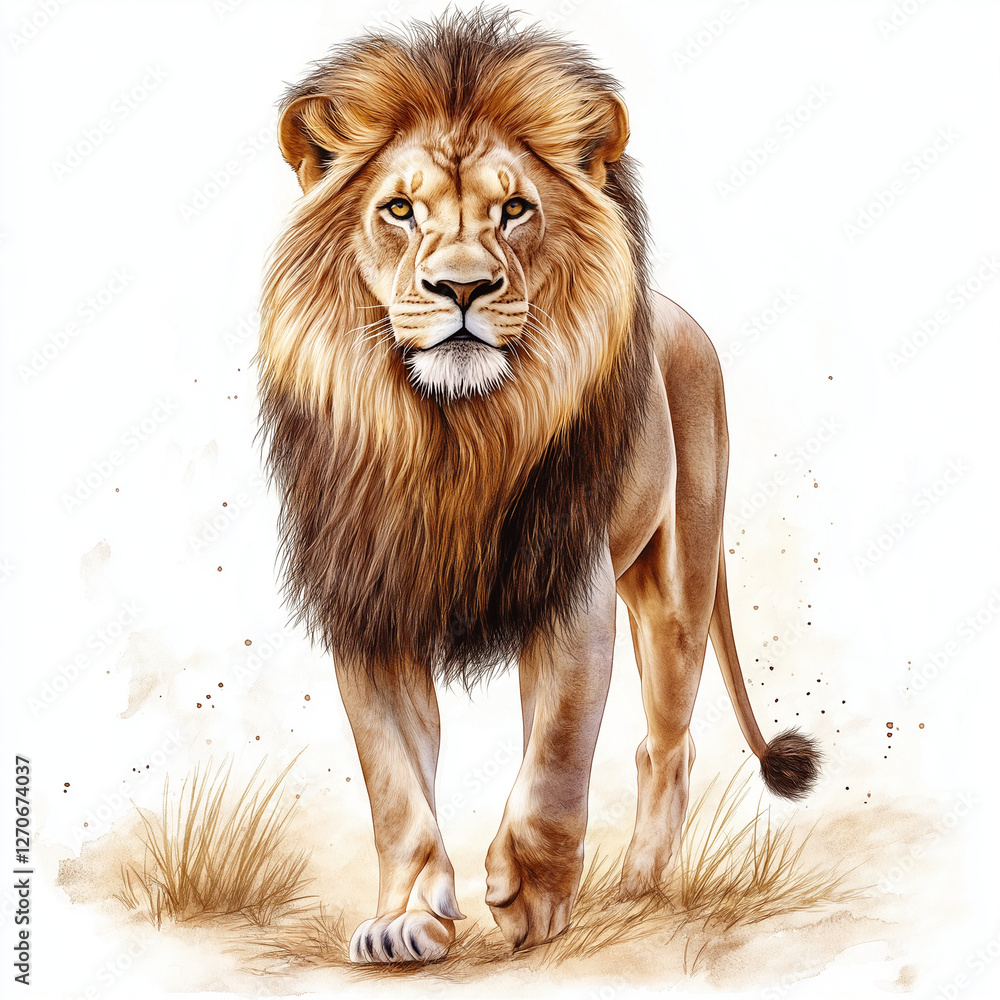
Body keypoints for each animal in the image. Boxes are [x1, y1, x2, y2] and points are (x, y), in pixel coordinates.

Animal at [258, 8, 820, 965]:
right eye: (399, 209)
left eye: (514, 208)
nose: (462, 288)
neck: (451, 438)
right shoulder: (373, 604)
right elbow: (395, 782)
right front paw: (408, 916)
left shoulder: (572, 593)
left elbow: (556, 755)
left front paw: (529, 893)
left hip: (676, 591)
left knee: (666, 747)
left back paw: (640, 885)